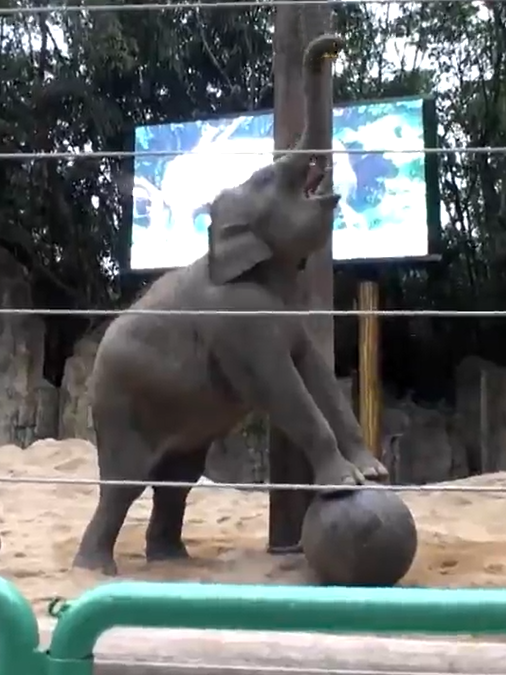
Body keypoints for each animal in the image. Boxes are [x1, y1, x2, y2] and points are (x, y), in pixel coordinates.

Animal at [73, 34, 388, 580]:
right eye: (267, 177)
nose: (333, 44)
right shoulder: (240, 321)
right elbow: (282, 385)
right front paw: (345, 485)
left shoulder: (289, 312)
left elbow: (318, 374)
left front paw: (375, 473)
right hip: (117, 402)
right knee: (124, 483)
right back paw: (94, 570)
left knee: (177, 478)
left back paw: (171, 559)